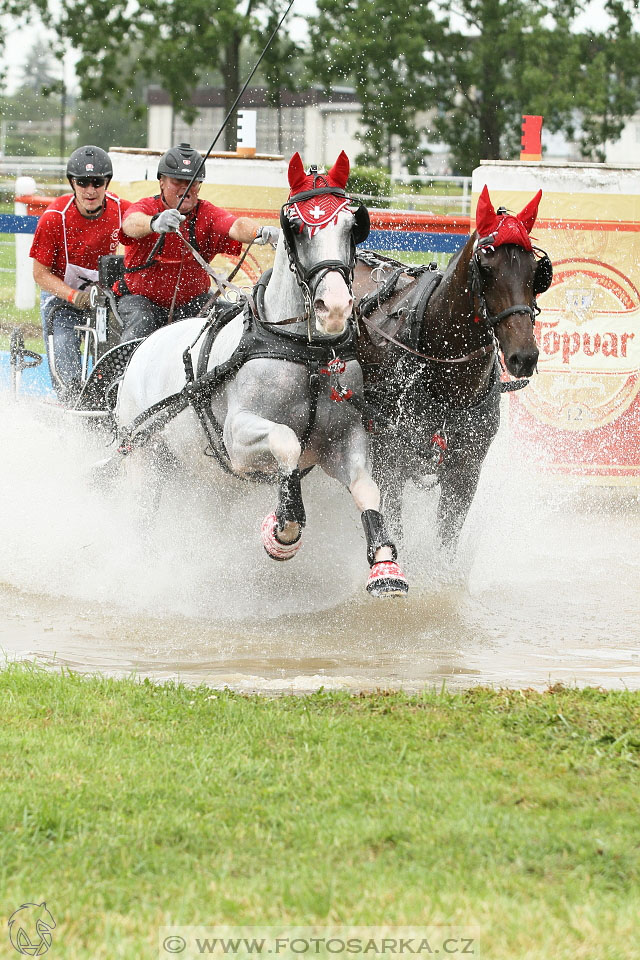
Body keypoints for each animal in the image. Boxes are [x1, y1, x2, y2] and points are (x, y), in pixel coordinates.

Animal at [113, 151, 408, 596]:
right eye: (296, 226)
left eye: (351, 224)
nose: (335, 307)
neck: (307, 353)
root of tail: (144, 346)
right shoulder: (237, 439)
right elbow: (287, 443)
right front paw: (283, 528)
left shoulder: (344, 437)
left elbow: (365, 486)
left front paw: (386, 566)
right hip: (146, 460)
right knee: (141, 511)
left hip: (207, 480)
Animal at [352, 187, 552, 552]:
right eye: (486, 267)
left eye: (537, 272)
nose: (525, 356)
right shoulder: (390, 463)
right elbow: (394, 527)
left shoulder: (466, 472)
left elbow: (446, 542)